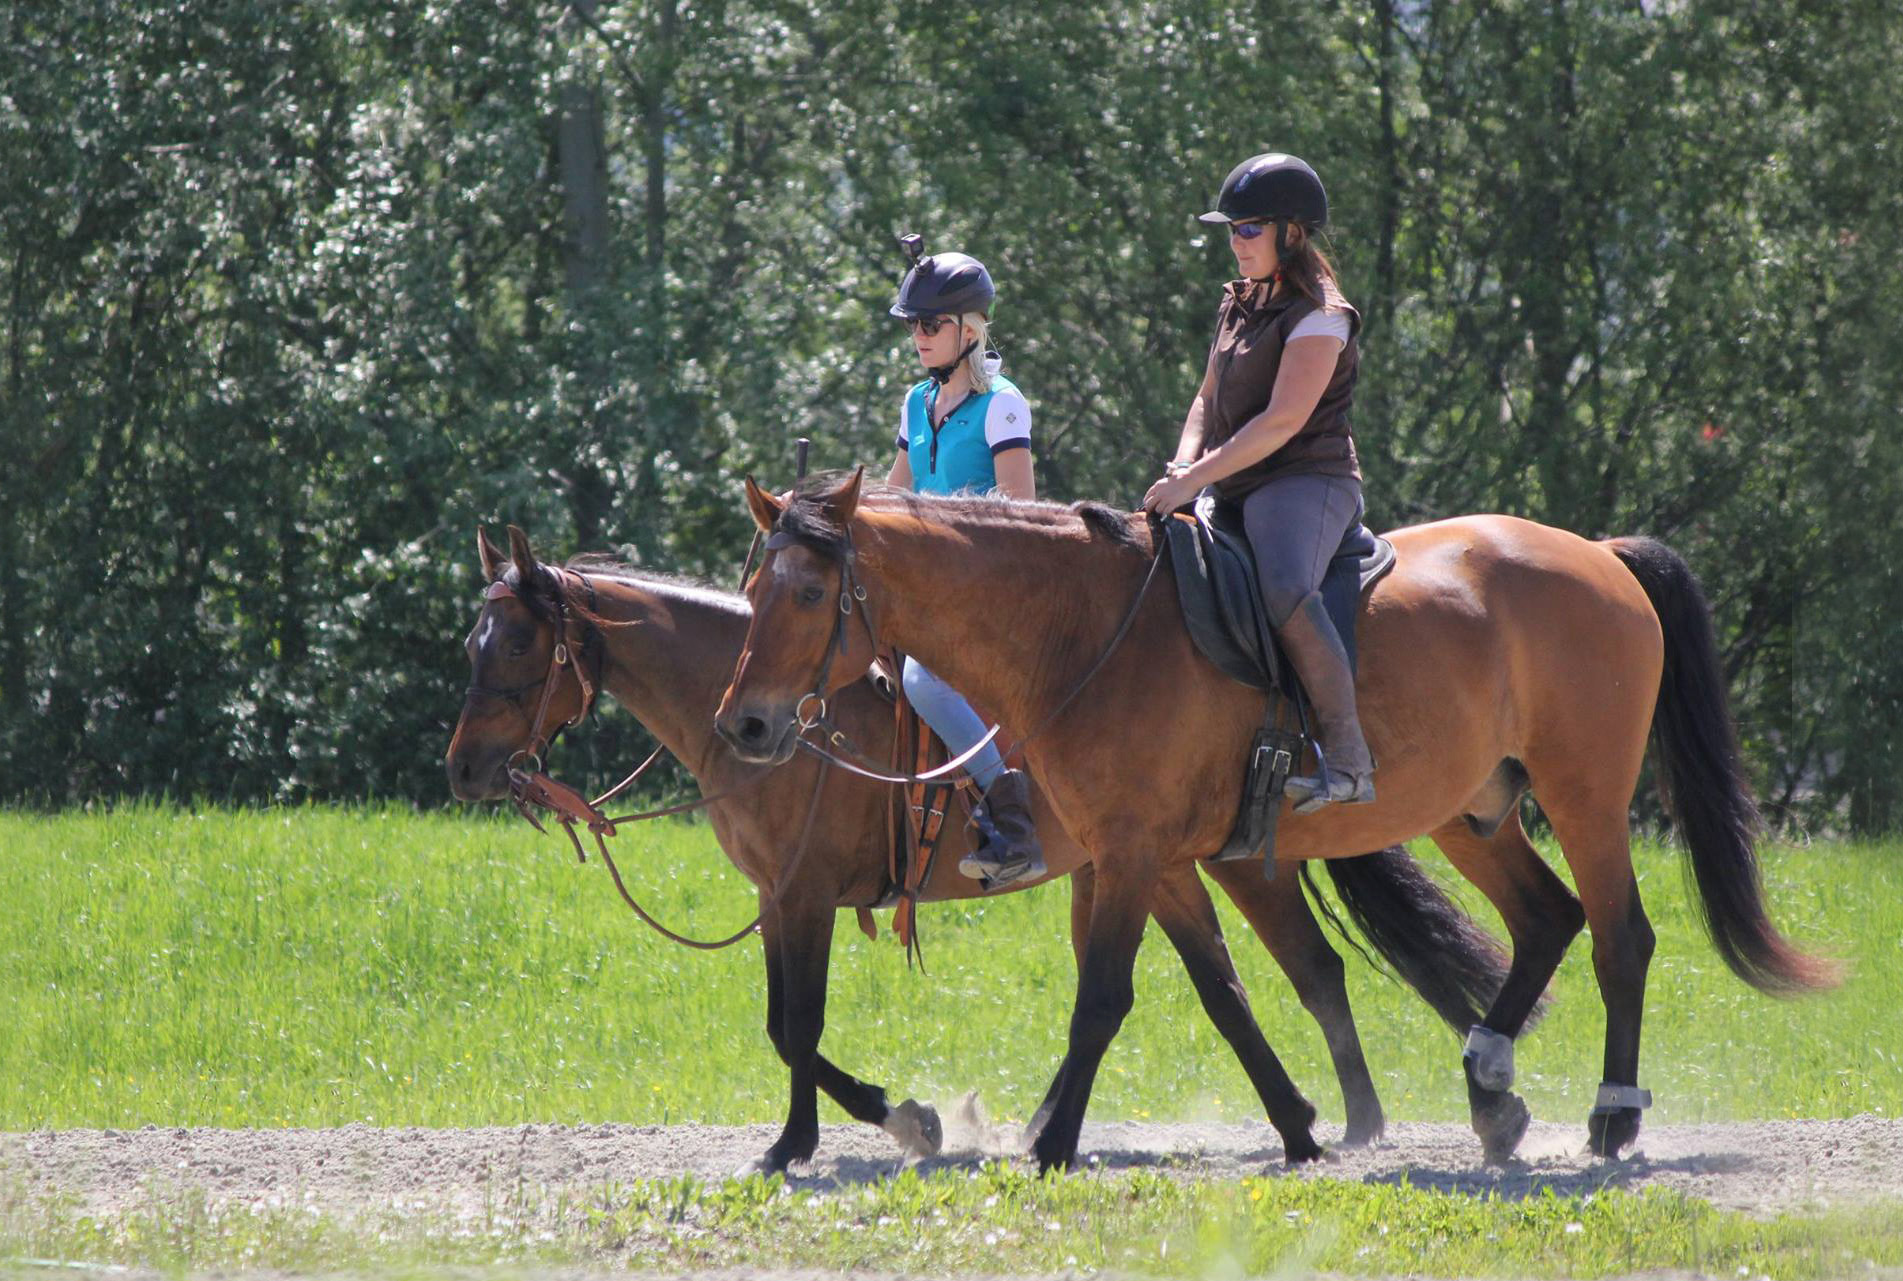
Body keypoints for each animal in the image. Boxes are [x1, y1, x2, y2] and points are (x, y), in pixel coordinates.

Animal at [447, 524, 1518, 1170]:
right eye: (472, 642)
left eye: (516, 644)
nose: (462, 767)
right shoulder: (773, 899)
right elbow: (783, 1025)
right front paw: (864, 1125)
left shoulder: (805, 896)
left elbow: (796, 1025)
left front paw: (846, 1131)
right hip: (1166, 869)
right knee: (1246, 985)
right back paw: (1303, 1123)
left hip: (1209, 862)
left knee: (1304, 969)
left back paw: (1350, 1122)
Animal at [714, 471, 1839, 1172]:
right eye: (749, 584)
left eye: (808, 591)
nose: (747, 724)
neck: (1079, 631)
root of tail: (1597, 555)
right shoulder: (1152, 860)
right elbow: (1222, 993)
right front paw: (1299, 1130)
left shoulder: (1129, 856)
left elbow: (1102, 999)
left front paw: (1051, 1141)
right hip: (1472, 813)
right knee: (1546, 921)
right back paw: (1488, 1089)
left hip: (1585, 794)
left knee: (1620, 938)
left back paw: (1609, 1117)